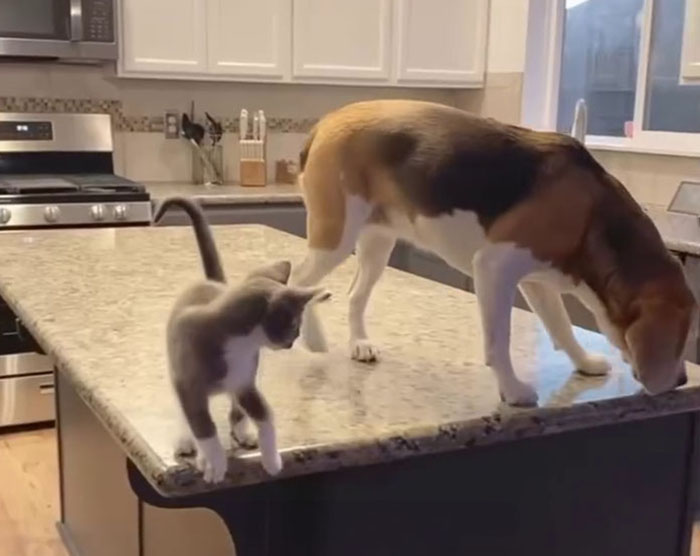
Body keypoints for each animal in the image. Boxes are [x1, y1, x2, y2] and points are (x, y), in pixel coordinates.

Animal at [154, 199, 328, 482]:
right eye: (294, 326)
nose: (292, 342)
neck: (239, 344)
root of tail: (211, 282)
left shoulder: (245, 381)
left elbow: (265, 415)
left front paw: (272, 459)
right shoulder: (190, 386)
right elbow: (204, 428)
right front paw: (214, 462)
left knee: (237, 410)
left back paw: (243, 432)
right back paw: (187, 441)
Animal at [288, 99, 696, 404]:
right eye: (685, 335)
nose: (681, 380)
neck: (591, 214)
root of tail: (326, 122)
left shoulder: (537, 282)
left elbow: (561, 327)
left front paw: (583, 362)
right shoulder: (494, 268)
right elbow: (499, 341)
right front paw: (513, 391)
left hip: (376, 244)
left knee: (355, 295)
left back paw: (359, 344)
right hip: (335, 237)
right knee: (298, 281)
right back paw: (312, 338)